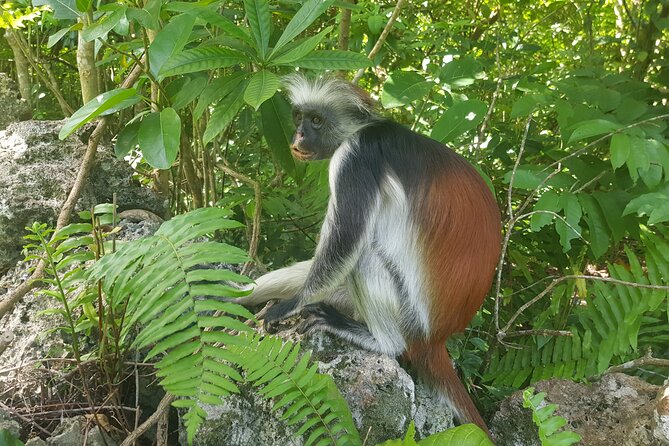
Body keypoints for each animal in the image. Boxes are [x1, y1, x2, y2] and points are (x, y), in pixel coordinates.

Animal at [237, 75, 502, 436]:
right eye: (299, 118)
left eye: (316, 120)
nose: (299, 135)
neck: (364, 129)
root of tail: (436, 338)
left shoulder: (356, 158)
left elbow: (345, 243)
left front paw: (288, 306)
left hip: (408, 316)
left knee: (362, 259)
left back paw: (382, 343)